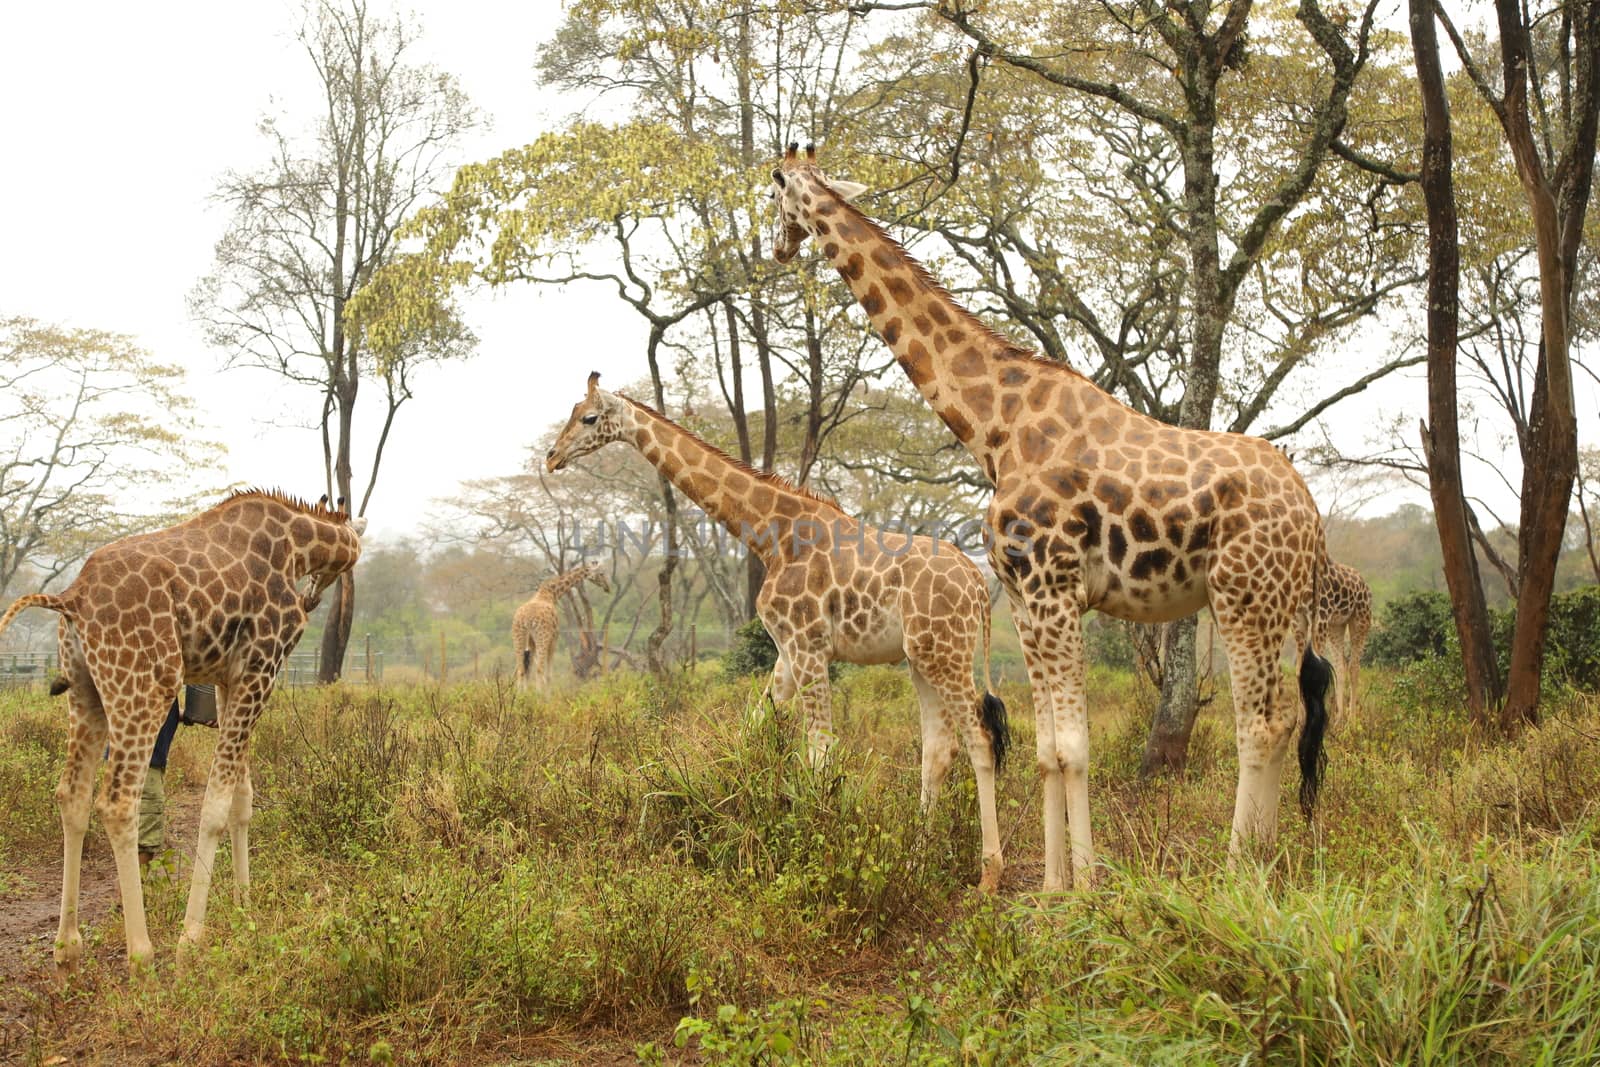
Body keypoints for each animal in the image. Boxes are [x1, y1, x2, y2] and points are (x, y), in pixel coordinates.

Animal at [0, 489, 364, 966]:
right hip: (145, 684)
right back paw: (142, 955)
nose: (311, 601)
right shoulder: (262, 668)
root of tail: (72, 598)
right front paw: (192, 938)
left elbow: (242, 799)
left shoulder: (232, 679)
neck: (298, 544)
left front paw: (244, 908)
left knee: (71, 795)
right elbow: (215, 805)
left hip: (85, 690)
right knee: (118, 801)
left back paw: (67, 949)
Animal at [512, 559, 611, 694]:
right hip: (542, 638)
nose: (608, 587)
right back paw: (538, 696)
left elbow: (530, 670)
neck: (552, 593)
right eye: (601, 573)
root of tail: (526, 620)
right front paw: (545, 697)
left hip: (519, 638)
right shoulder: (554, 639)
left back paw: (520, 696)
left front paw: (527, 695)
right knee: (539, 669)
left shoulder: (532, 643)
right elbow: (548, 675)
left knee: (521, 669)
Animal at [540, 371, 1011, 889]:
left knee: (980, 739)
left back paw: (989, 875)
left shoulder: (808, 646)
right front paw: (726, 810)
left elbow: (820, 750)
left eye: (588, 417)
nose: (552, 457)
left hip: (947, 653)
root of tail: (978, 587)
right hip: (921, 658)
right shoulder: (786, 652)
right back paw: (915, 863)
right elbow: (752, 729)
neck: (769, 535)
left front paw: (821, 848)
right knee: (938, 750)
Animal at [768, 141, 1331, 895]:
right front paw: (1053, 886)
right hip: (1275, 603)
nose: (776, 247)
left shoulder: (1050, 587)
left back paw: (1239, 869)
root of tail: (1312, 516)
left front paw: (1084, 885)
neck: (996, 428)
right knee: (1290, 716)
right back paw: (1267, 857)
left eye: (774, 193)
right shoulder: (1026, 596)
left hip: (1245, 596)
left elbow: (1072, 746)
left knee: (1262, 724)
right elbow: (1044, 748)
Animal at [1292, 559, 1369, 726]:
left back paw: (1352, 721)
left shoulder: (1320, 617)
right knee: (1341, 665)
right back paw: (1339, 720)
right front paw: (1300, 721)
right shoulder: (1298, 620)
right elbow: (1299, 670)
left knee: (1354, 666)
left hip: (1360, 621)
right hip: (1336, 626)